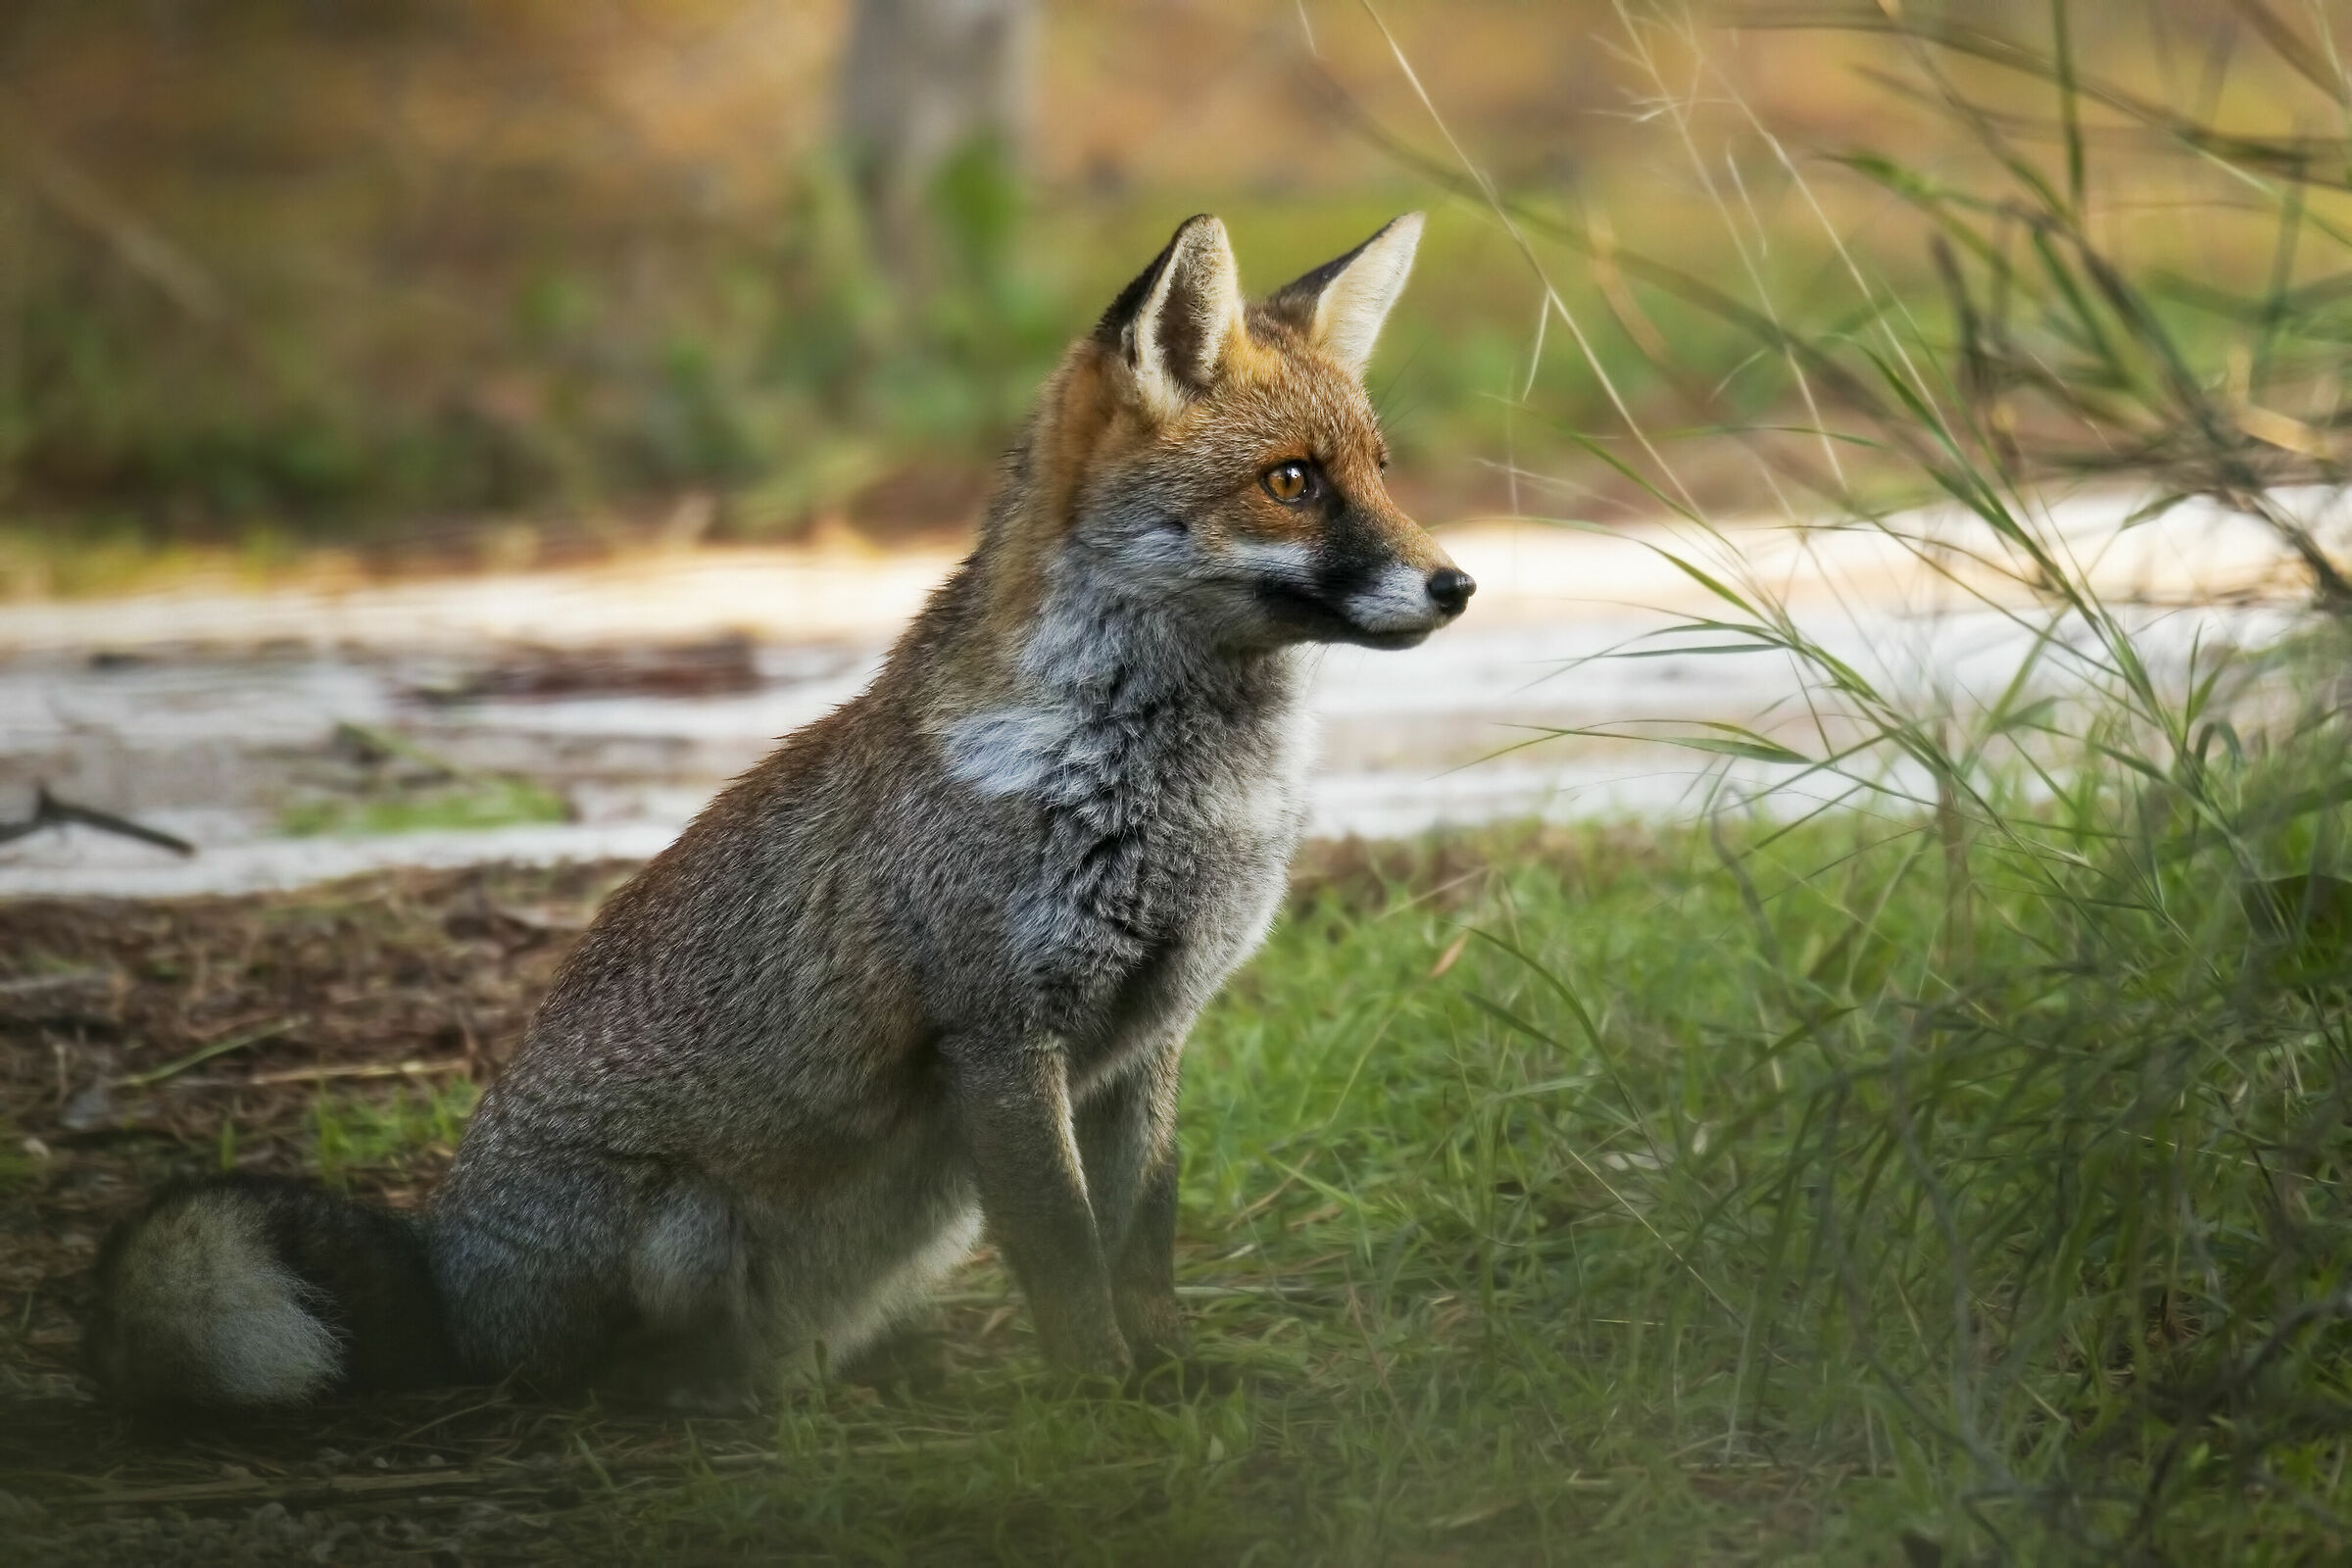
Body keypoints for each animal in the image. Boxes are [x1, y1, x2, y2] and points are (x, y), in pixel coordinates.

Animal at [85, 211, 1473, 1413]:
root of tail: (452, 1284)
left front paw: (1172, 1374)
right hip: (687, 1226)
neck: (1163, 791)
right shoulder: (1001, 1032)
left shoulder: (1151, 1036)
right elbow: (1069, 1256)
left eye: (1380, 473)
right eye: (1291, 481)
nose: (1458, 585)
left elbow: (1143, 1246)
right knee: (609, 1375)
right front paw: (1100, 1401)